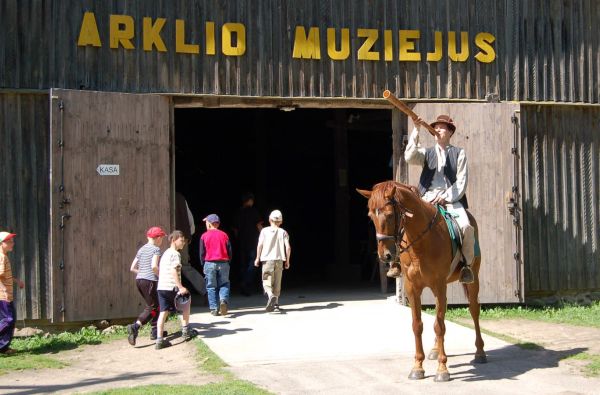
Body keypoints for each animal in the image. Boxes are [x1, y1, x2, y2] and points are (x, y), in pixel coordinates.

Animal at [358, 181, 486, 382]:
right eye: (371, 216)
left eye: (390, 214)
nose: (385, 255)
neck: (421, 241)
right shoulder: (413, 288)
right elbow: (418, 325)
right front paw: (417, 367)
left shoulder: (439, 285)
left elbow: (439, 326)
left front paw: (442, 369)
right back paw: (435, 350)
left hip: (473, 280)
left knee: (474, 310)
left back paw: (480, 352)